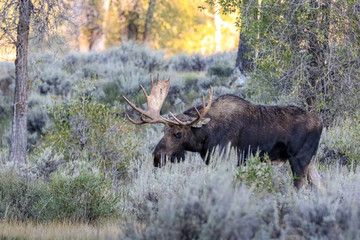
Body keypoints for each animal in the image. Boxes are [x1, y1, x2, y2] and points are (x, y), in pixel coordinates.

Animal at [123, 75, 324, 189]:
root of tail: (321, 122)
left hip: (299, 160)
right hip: (310, 161)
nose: (157, 157)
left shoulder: (223, 158)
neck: (204, 137)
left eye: (178, 133)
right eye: (163, 129)